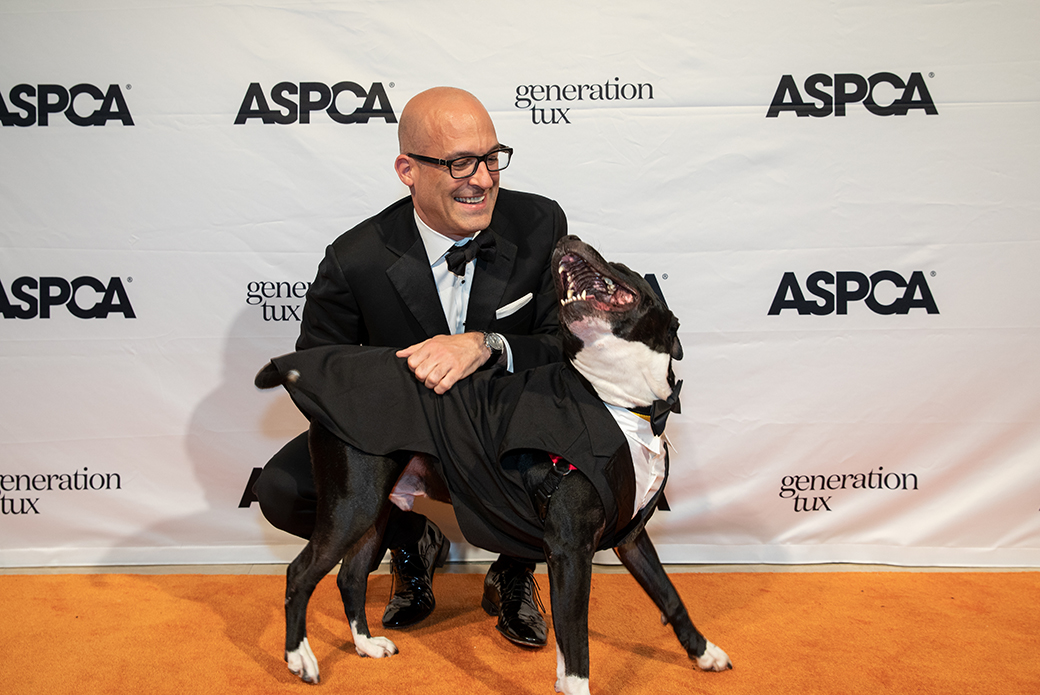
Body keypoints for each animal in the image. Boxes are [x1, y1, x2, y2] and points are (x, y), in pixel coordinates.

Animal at [254, 235, 732, 695]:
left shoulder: (631, 537)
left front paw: (704, 653)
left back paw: (366, 645)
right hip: (352, 505)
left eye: (623, 267)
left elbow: (669, 595)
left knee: (350, 577)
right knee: (300, 573)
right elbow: (576, 648)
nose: (569, 238)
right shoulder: (569, 548)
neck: (622, 401)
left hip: (374, 510)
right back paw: (299, 659)